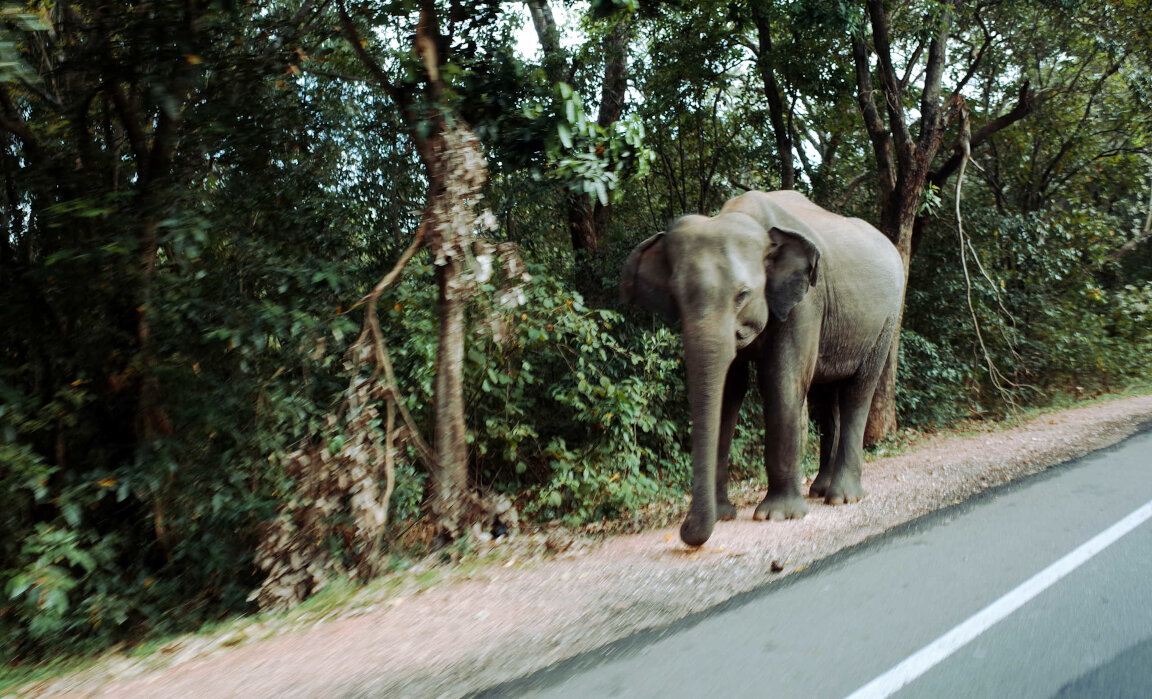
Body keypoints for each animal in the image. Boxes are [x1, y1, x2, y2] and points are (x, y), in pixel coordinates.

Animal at [622, 190, 907, 548]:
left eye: (742, 295)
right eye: (676, 296)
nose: (686, 533)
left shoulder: (807, 302)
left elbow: (781, 382)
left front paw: (777, 516)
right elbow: (730, 391)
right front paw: (724, 515)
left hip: (886, 318)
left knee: (858, 390)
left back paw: (842, 497)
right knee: (825, 398)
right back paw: (820, 490)